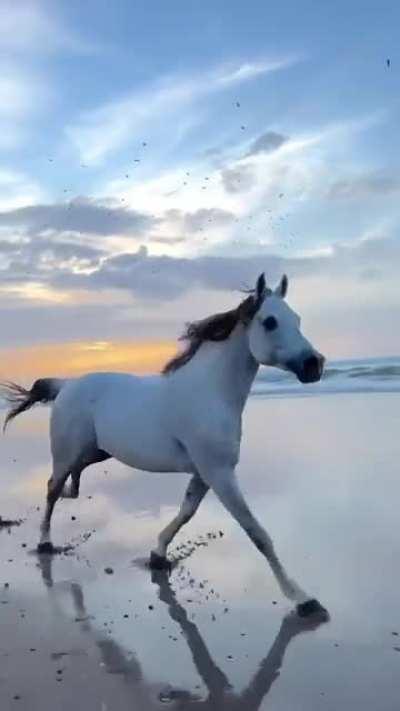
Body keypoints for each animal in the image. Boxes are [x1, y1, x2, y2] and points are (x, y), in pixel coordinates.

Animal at [1, 273, 326, 617]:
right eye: (270, 321)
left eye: (297, 319)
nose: (314, 364)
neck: (210, 392)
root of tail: (66, 385)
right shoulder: (219, 472)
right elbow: (257, 532)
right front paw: (302, 598)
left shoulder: (205, 472)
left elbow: (186, 512)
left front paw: (157, 555)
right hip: (66, 453)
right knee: (52, 489)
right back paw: (45, 543)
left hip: (96, 454)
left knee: (70, 486)